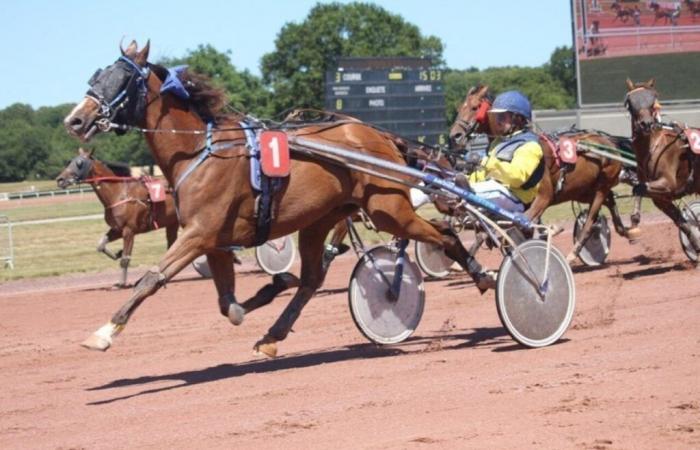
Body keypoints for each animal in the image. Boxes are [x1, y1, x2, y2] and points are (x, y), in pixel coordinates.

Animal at [56, 149, 179, 288]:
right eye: (70, 161)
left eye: (79, 163)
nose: (60, 179)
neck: (119, 193)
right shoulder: (117, 229)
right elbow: (101, 245)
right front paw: (117, 253)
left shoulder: (129, 231)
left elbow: (125, 259)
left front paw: (121, 282)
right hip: (172, 223)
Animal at [448, 84, 640, 262]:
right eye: (460, 108)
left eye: (474, 107)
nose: (455, 136)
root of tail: (610, 142)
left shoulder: (544, 197)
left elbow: (521, 224)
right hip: (582, 190)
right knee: (610, 203)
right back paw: (628, 231)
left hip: (601, 187)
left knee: (590, 221)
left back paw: (573, 254)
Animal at [624, 78, 700, 256]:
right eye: (630, 103)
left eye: (653, 101)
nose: (646, 124)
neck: (653, 148)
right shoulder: (661, 198)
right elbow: (682, 223)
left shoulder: (667, 183)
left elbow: (639, 188)